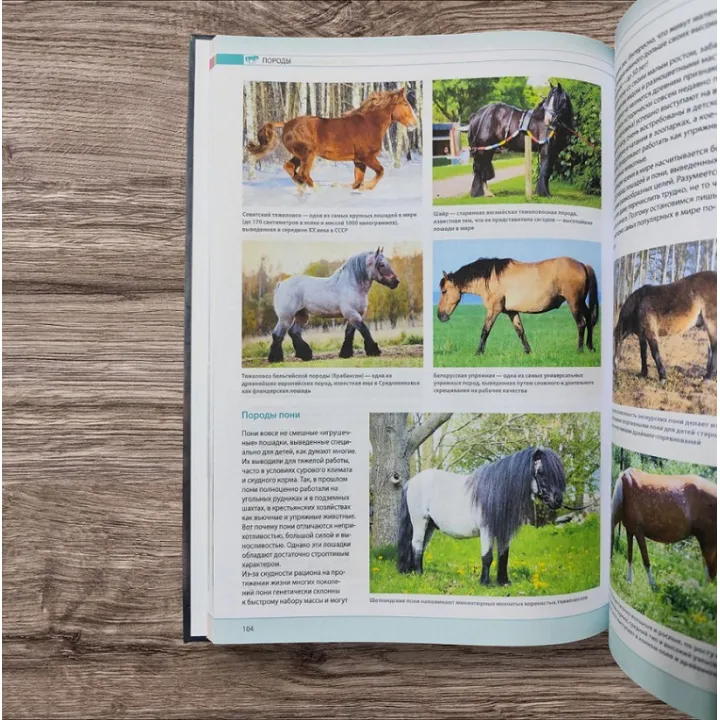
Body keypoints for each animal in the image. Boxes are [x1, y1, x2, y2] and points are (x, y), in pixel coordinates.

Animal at [246, 87, 418, 192]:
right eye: (404, 103)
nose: (414, 124)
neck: (370, 124)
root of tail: (287, 123)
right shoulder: (366, 157)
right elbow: (379, 172)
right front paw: (364, 187)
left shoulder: (358, 160)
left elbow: (357, 181)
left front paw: (343, 187)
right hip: (308, 154)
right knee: (303, 173)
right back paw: (317, 191)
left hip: (299, 155)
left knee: (290, 168)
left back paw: (302, 190)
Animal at [267, 248, 400, 363]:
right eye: (381, 264)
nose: (396, 282)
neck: (351, 285)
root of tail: (281, 284)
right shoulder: (352, 314)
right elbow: (365, 331)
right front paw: (374, 351)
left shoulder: (354, 315)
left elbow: (349, 334)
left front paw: (345, 354)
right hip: (286, 318)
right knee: (278, 334)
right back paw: (275, 359)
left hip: (302, 316)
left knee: (293, 332)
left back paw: (305, 355)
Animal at [396, 447, 566, 585]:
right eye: (541, 472)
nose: (558, 500)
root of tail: (411, 482)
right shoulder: (487, 531)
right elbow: (487, 557)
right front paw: (484, 582)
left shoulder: (504, 532)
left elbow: (503, 556)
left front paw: (503, 582)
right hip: (420, 522)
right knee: (416, 545)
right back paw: (419, 574)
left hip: (430, 526)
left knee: (420, 546)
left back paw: (414, 571)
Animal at [437, 256, 599, 355]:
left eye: (444, 291)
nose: (440, 316)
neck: (490, 279)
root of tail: (583, 265)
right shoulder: (512, 312)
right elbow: (520, 332)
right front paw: (528, 352)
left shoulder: (493, 310)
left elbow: (485, 331)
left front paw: (478, 353)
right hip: (581, 302)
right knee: (589, 320)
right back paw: (590, 347)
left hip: (574, 302)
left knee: (581, 323)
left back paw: (579, 350)